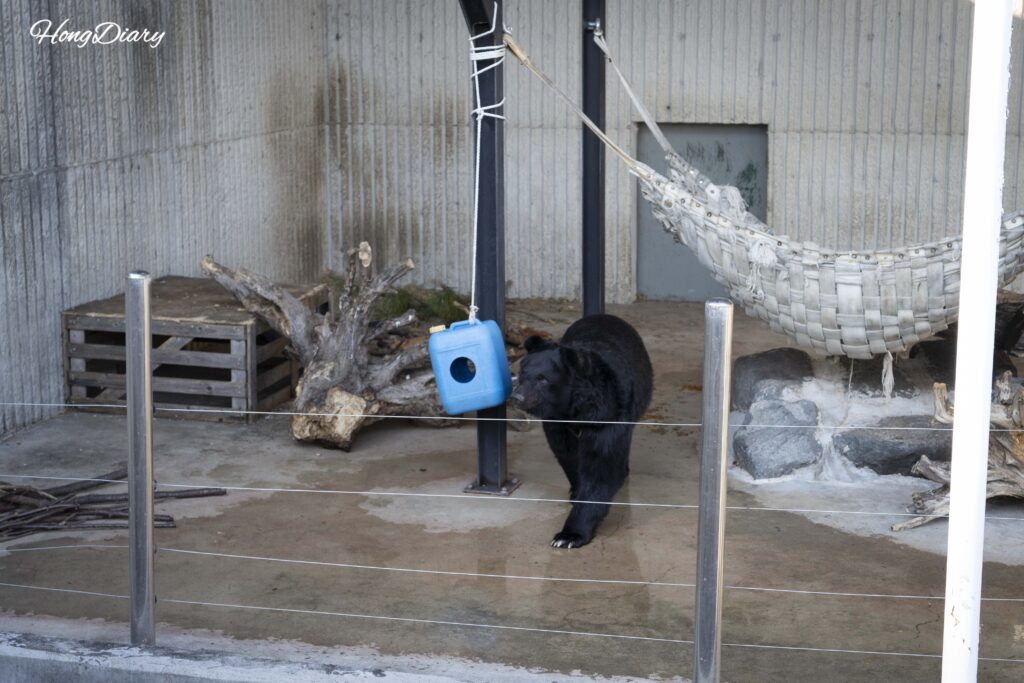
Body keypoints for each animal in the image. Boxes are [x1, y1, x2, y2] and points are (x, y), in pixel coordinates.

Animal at [510, 314, 653, 549]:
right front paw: (576, 491)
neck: (574, 409)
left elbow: (601, 464)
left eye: (542, 378)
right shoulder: (557, 423)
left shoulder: (608, 414)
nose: (517, 397)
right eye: (522, 374)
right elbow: (567, 455)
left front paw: (568, 536)